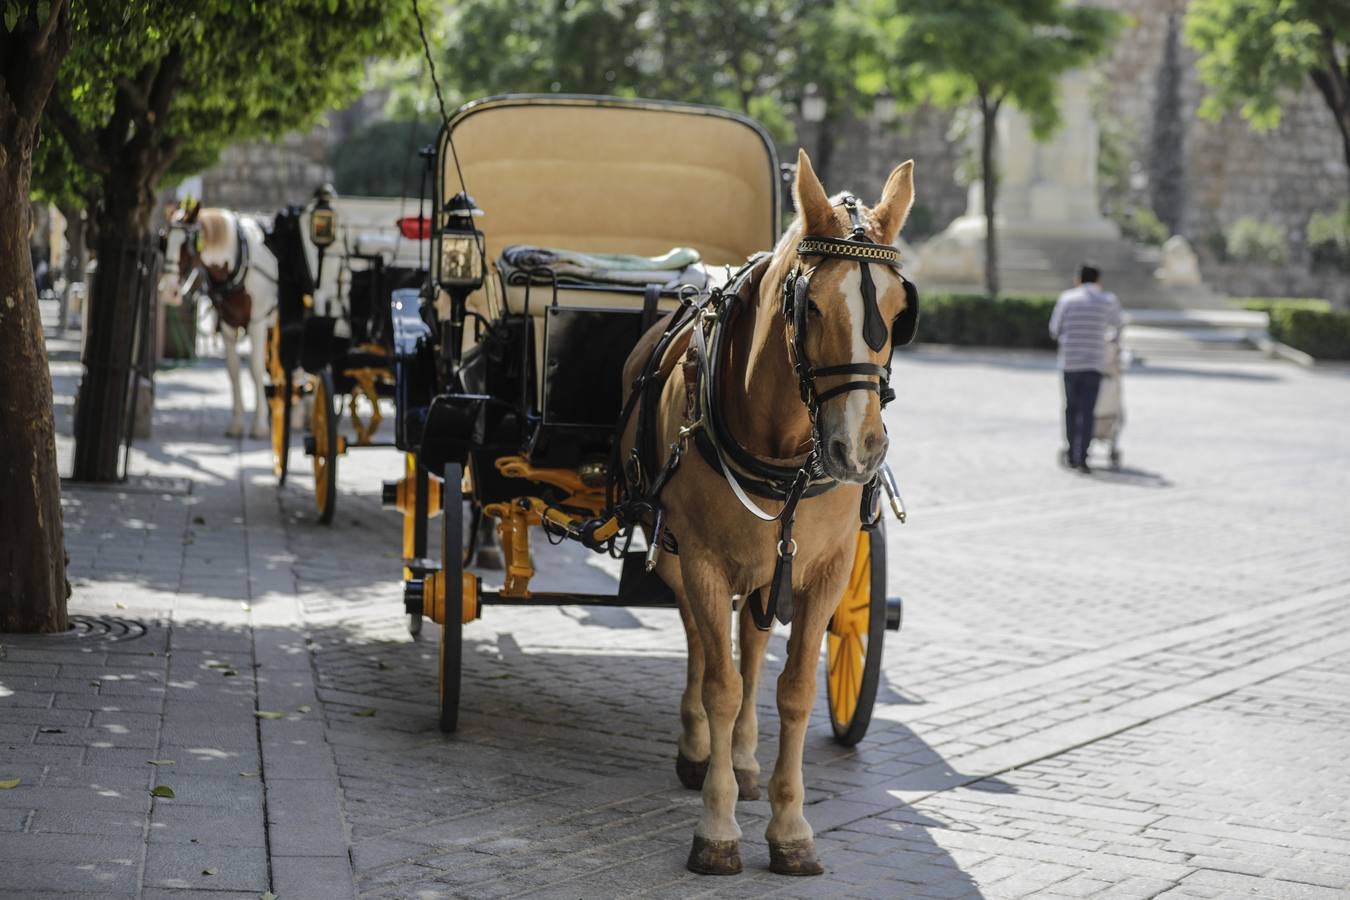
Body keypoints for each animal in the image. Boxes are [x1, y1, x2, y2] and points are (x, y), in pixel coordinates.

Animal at [162, 205, 280, 442]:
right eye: (165, 240)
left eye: (186, 246)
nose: (169, 291)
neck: (241, 257)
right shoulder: (227, 323)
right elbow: (233, 370)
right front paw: (236, 423)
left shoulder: (257, 322)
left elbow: (255, 369)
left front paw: (260, 424)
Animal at [621, 151, 918, 874]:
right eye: (811, 305)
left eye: (901, 311)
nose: (859, 449)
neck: (783, 448)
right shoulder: (699, 557)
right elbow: (721, 684)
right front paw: (718, 827)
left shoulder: (828, 568)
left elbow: (794, 688)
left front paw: (789, 825)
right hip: (680, 553)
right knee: (703, 645)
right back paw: (701, 747)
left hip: (764, 567)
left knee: (750, 646)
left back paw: (745, 761)